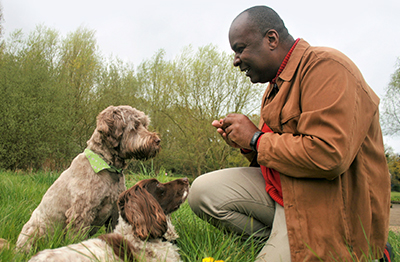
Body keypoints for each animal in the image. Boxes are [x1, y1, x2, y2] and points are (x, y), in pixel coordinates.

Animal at [16, 105, 161, 252]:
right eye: (135, 126)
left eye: (144, 125)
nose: (157, 141)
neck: (108, 167)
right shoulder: (82, 212)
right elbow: (77, 236)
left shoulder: (115, 212)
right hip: (36, 230)